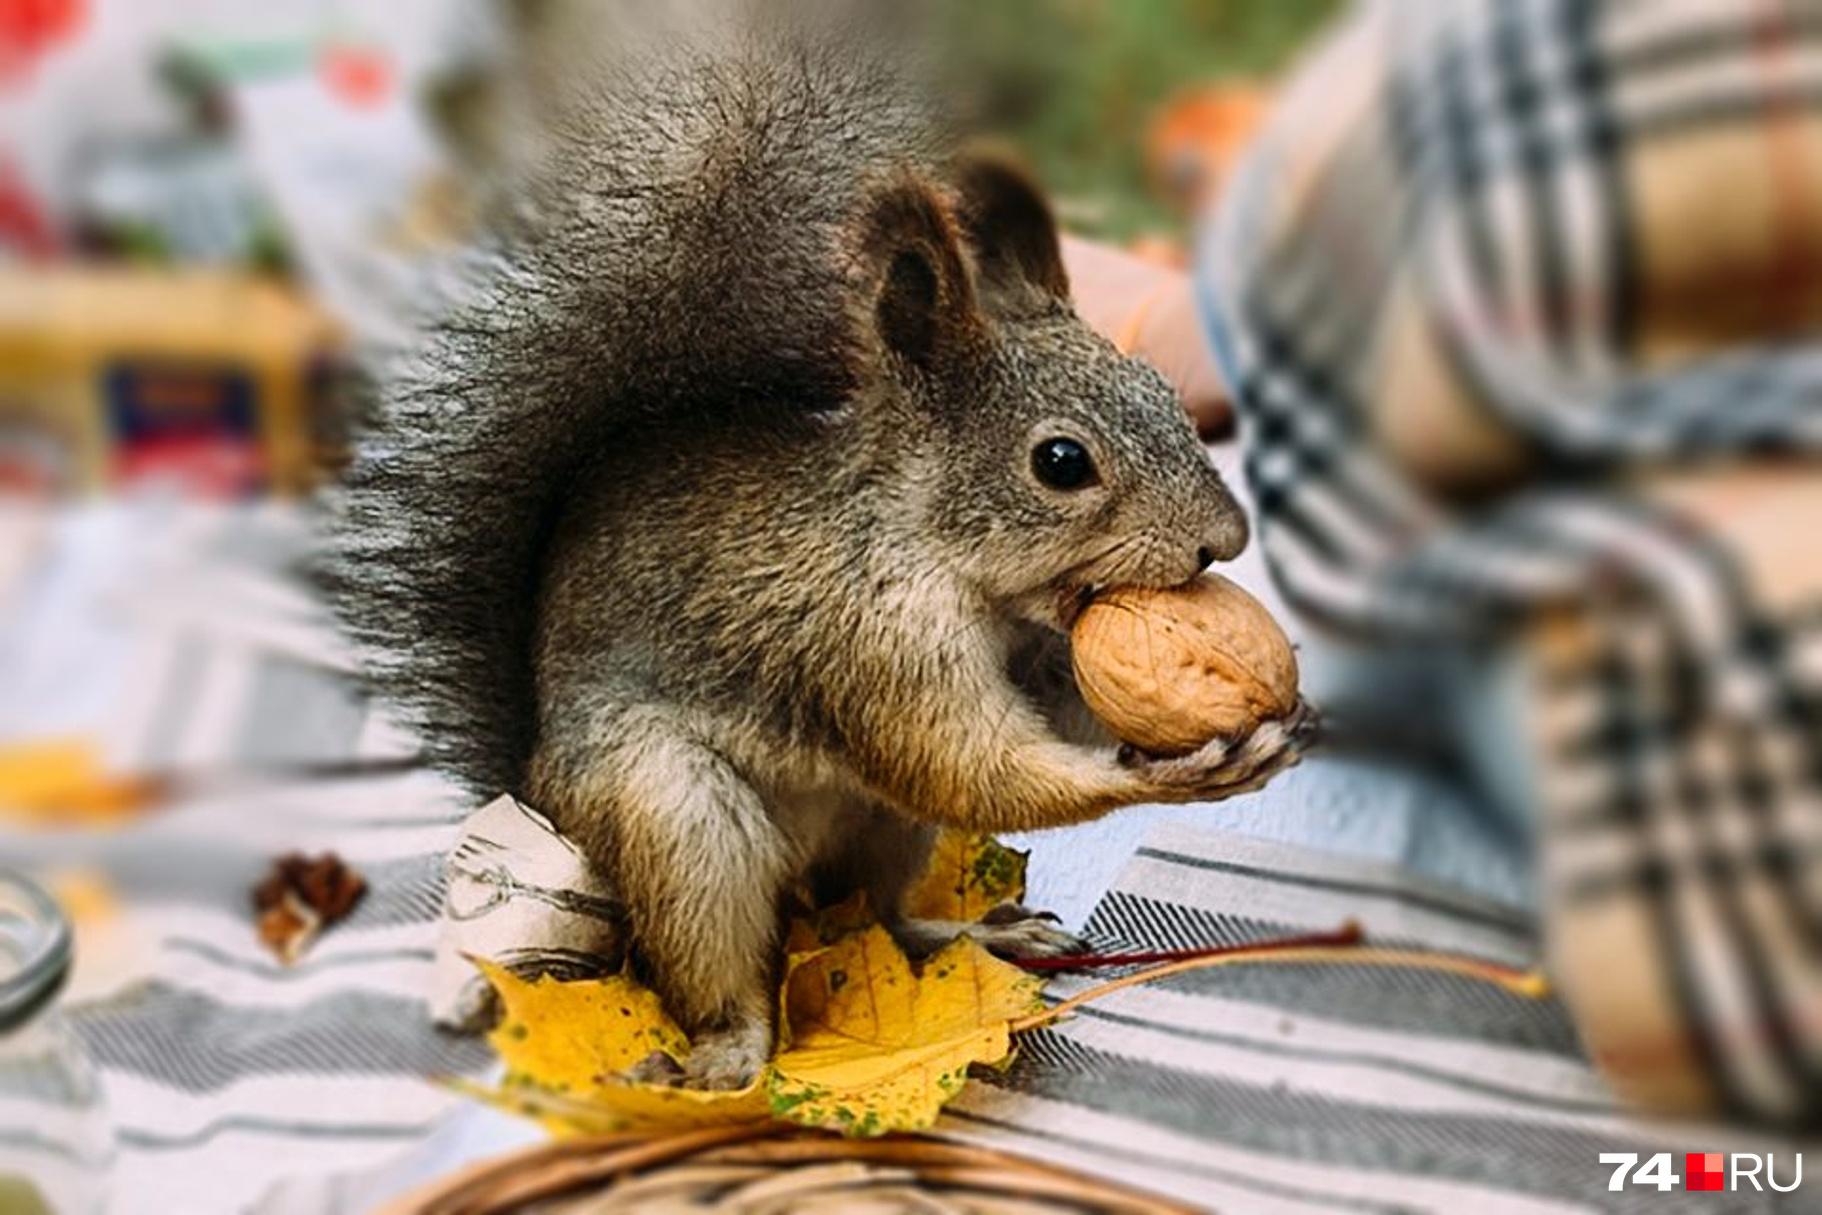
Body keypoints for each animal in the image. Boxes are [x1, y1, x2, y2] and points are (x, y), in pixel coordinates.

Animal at [317, 4, 1311, 1085]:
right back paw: (726, 1055)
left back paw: (970, 936)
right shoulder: (866, 643)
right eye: (1060, 462)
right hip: (673, 814)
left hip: (876, 827)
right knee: (722, 956)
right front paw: (1172, 774)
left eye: (1166, 395)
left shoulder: (1032, 653)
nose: (1226, 538)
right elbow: (974, 768)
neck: (937, 553)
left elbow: (1057, 714)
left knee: (873, 919)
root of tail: (540, 788)